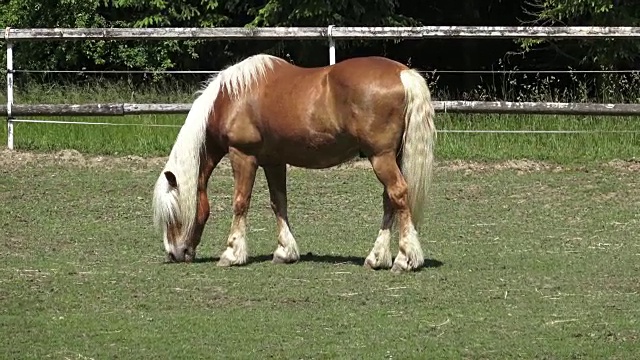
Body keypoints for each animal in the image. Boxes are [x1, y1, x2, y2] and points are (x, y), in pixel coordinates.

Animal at [152, 53, 438, 272]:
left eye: (172, 213)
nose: (174, 253)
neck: (231, 99)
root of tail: (403, 73)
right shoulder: (273, 162)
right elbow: (278, 202)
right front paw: (284, 251)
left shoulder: (242, 155)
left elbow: (240, 202)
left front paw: (231, 254)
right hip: (392, 157)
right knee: (390, 200)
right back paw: (376, 258)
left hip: (381, 158)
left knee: (398, 194)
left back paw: (404, 259)